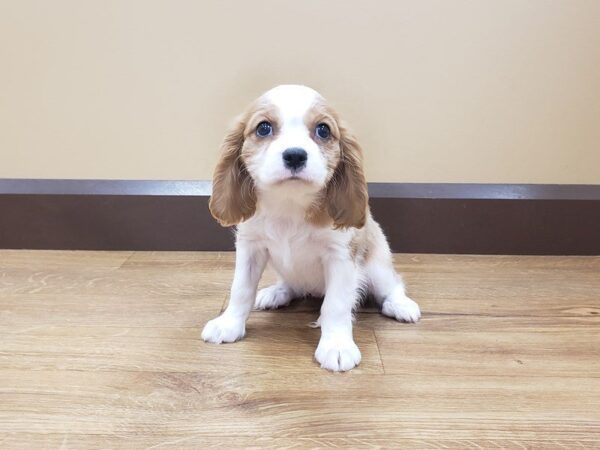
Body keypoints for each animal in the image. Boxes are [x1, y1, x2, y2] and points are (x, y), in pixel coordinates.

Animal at [204, 85, 420, 372]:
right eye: (263, 128)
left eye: (323, 130)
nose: (295, 154)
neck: (290, 204)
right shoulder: (251, 247)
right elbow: (240, 289)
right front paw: (229, 323)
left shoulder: (340, 256)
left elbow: (335, 305)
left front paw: (337, 345)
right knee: (293, 285)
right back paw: (277, 292)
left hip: (377, 267)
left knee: (392, 284)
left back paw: (400, 304)